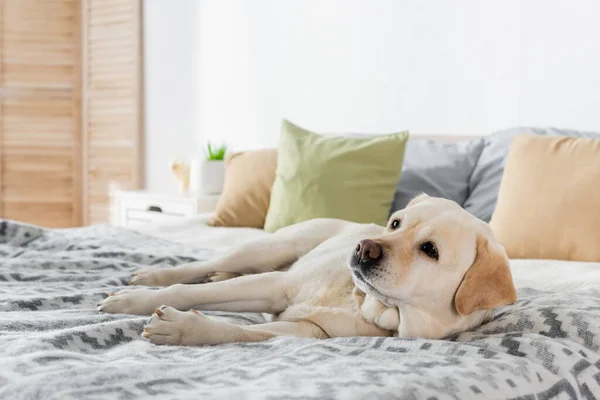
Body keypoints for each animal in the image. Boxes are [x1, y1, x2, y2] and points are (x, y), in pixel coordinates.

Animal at [97, 194, 516, 344]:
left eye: (430, 250)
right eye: (395, 223)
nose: (363, 247)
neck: (363, 303)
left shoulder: (308, 331)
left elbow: (239, 331)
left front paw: (186, 329)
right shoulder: (275, 285)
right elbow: (188, 292)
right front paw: (129, 302)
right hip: (266, 250)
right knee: (204, 267)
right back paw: (149, 277)